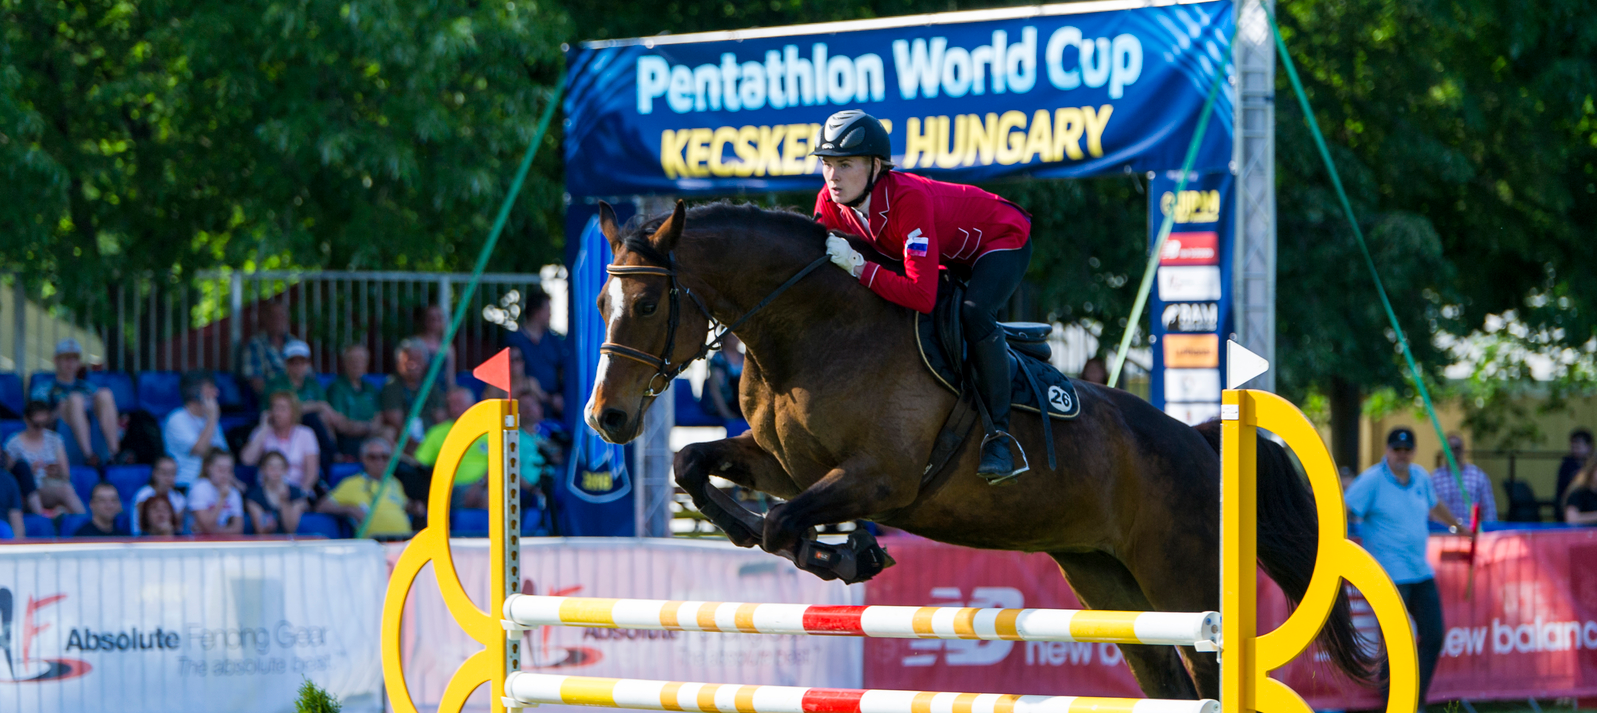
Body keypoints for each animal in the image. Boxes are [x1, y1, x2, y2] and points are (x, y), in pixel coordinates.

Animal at [584, 200, 1373, 703]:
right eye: (598, 305)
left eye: (649, 305)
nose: (606, 418)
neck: (811, 332)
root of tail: (1202, 443)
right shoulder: (785, 466)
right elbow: (697, 468)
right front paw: (818, 547)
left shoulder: (881, 478)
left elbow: (786, 522)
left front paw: (847, 555)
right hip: (1105, 581)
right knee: (1168, 683)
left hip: (1183, 583)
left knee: (1206, 673)